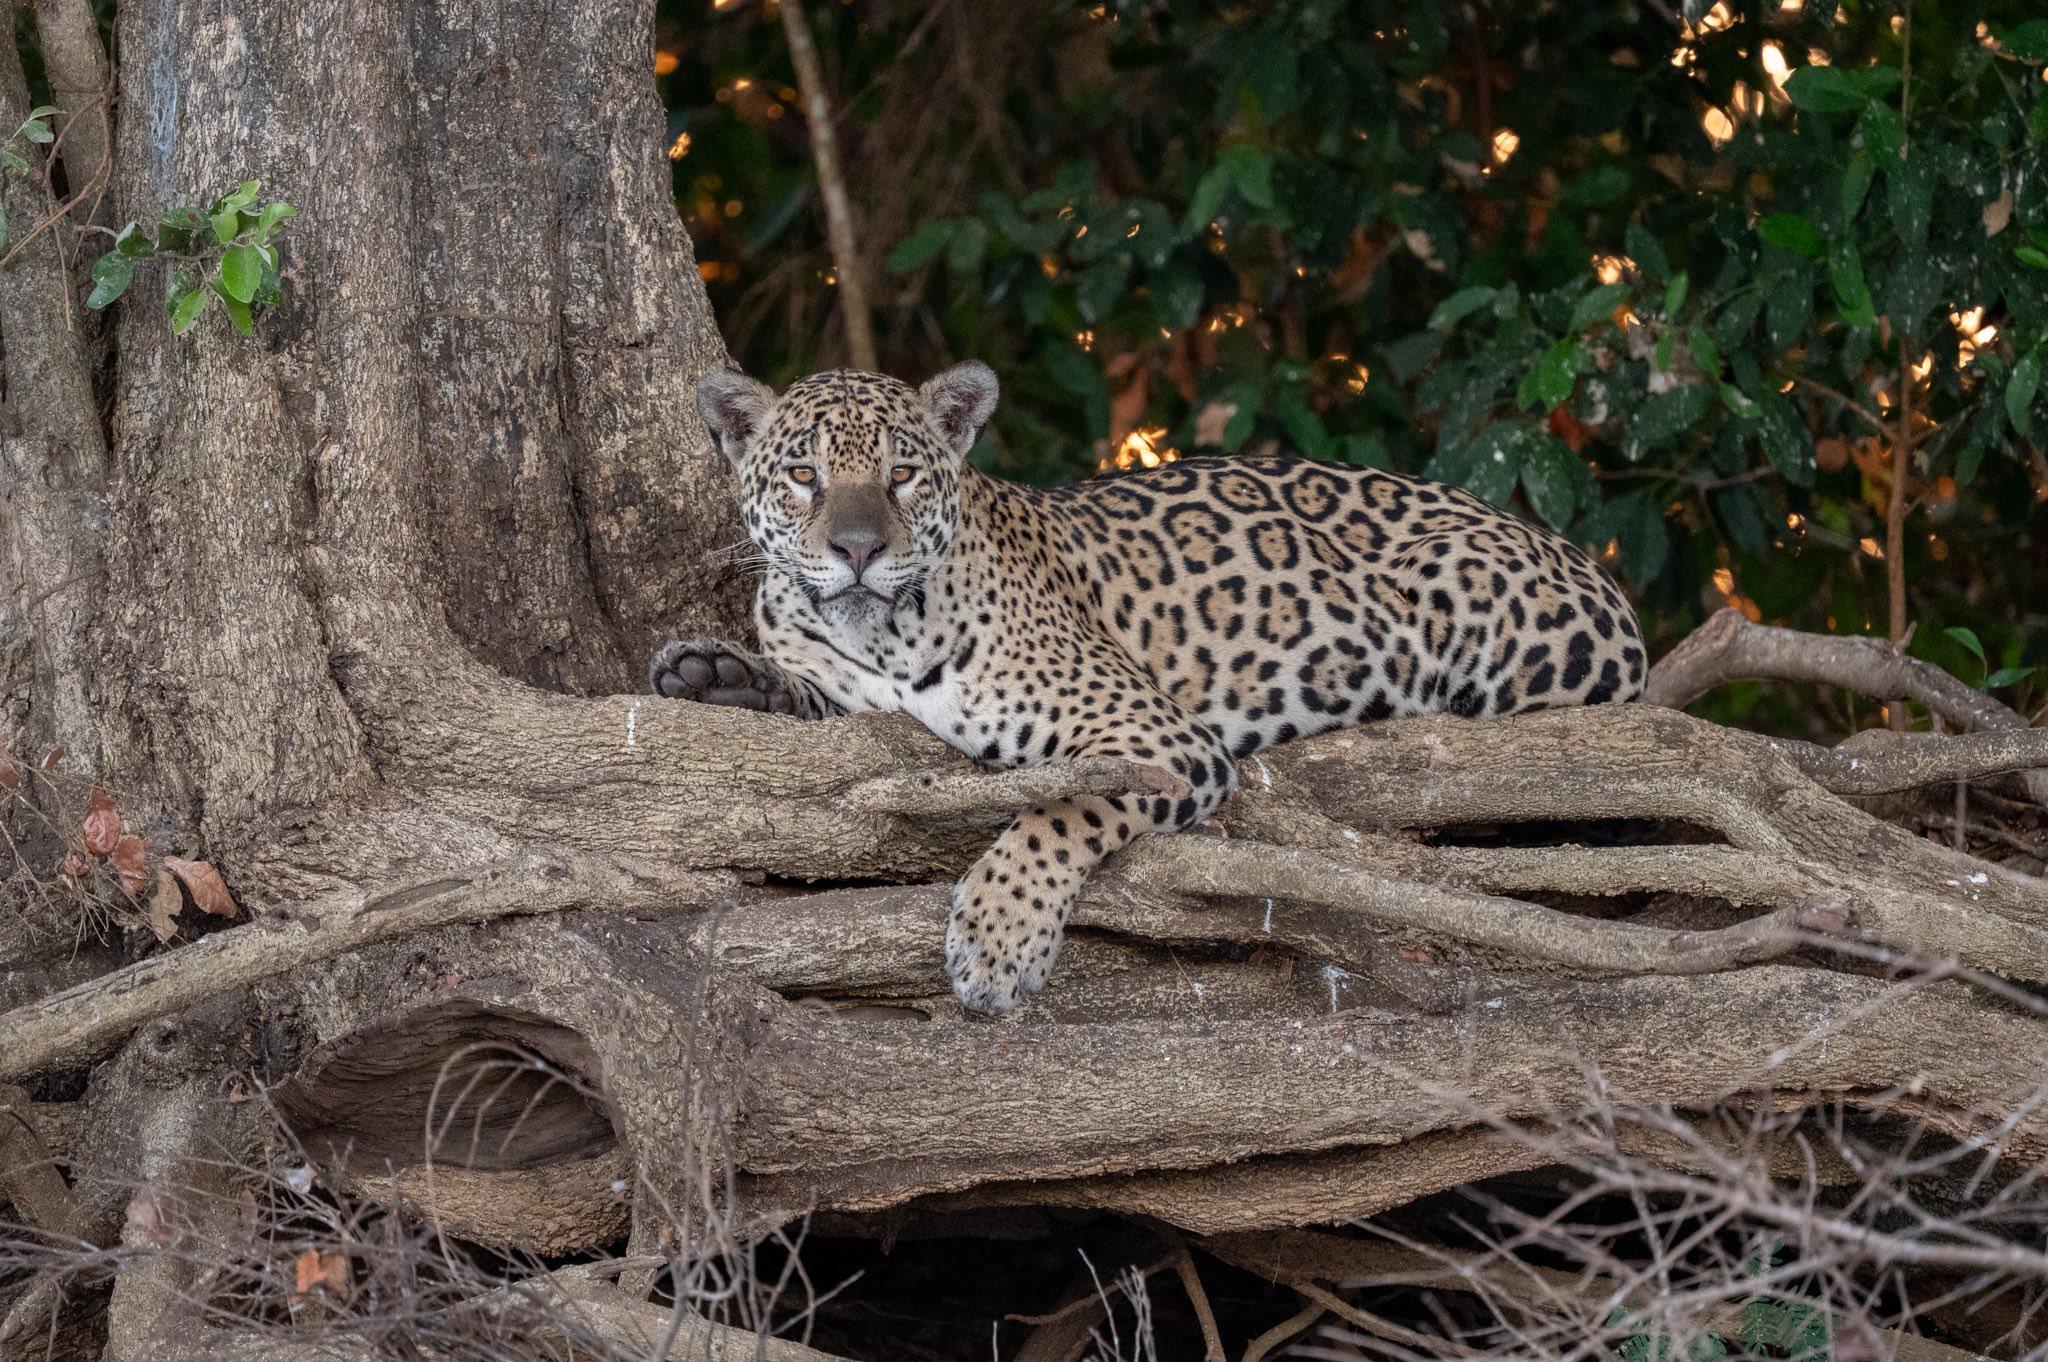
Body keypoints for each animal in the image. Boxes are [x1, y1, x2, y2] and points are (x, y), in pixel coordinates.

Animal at [652, 361, 1647, 1015]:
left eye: (900, 472)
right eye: (804, 475)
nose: (857, 549)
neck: (887, 635)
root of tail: (1593, 570)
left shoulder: (1157, 739)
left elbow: (1057, 813)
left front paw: (996, 941)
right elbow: (800, 695)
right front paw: (717, 675)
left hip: (1453, 594)